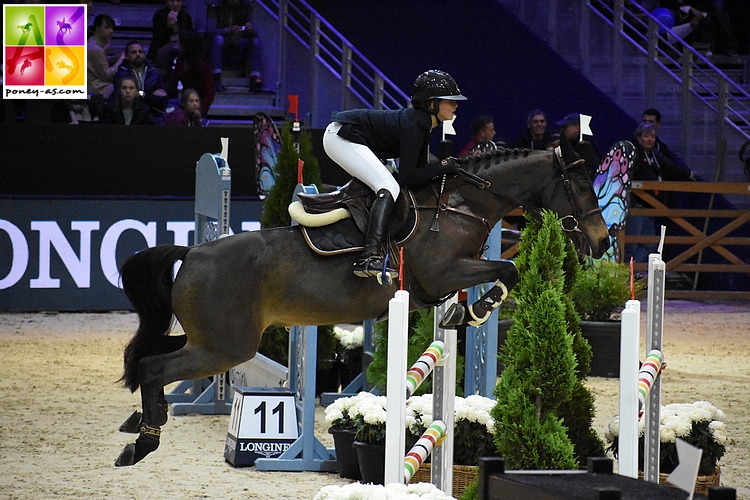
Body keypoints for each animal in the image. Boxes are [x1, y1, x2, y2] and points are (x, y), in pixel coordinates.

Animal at [116, 138, 612, 464]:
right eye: (581, 185)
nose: (603, 242)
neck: (459, 204)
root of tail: (193, 253)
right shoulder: (444, 273)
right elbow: (506, 270)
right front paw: (473, 310)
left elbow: (502, 273)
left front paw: (462, 312)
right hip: (226, 346)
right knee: (153, 367)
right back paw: (142, 442)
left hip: (211, 341)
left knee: (148, 357)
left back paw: (142, 420)